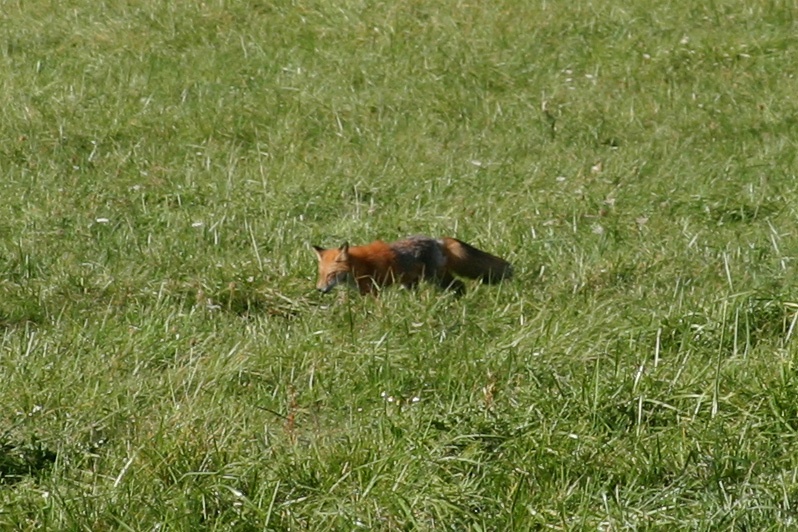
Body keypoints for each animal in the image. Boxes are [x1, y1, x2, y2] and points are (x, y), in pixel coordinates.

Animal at [312, 236, 513, 295]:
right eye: (321, 275)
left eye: (331, 275)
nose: (320, 290)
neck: (357, 266)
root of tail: (437, 240)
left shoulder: (371, 291)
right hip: (411, 283)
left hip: (435, 279)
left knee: (459, 285)